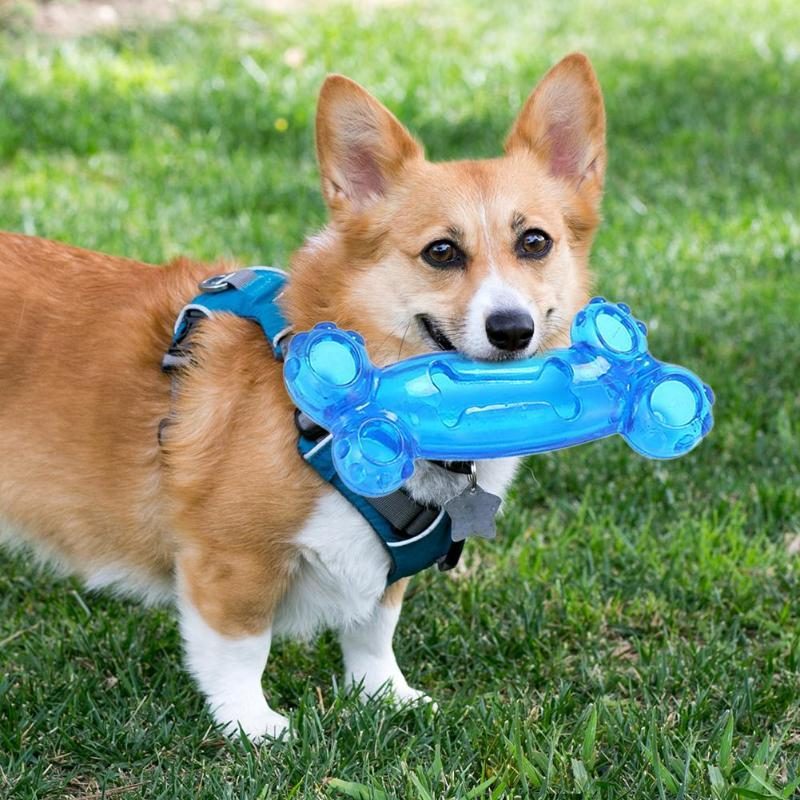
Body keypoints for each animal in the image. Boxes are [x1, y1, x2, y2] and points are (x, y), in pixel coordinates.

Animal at [0, 53, 604, 740]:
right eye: (441, 252)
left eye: (535, 242)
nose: (511, 329)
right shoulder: (232, 559)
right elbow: (241, 648)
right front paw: (254, 727)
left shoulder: (380, 574)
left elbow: (373, 631)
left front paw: (385, 696)